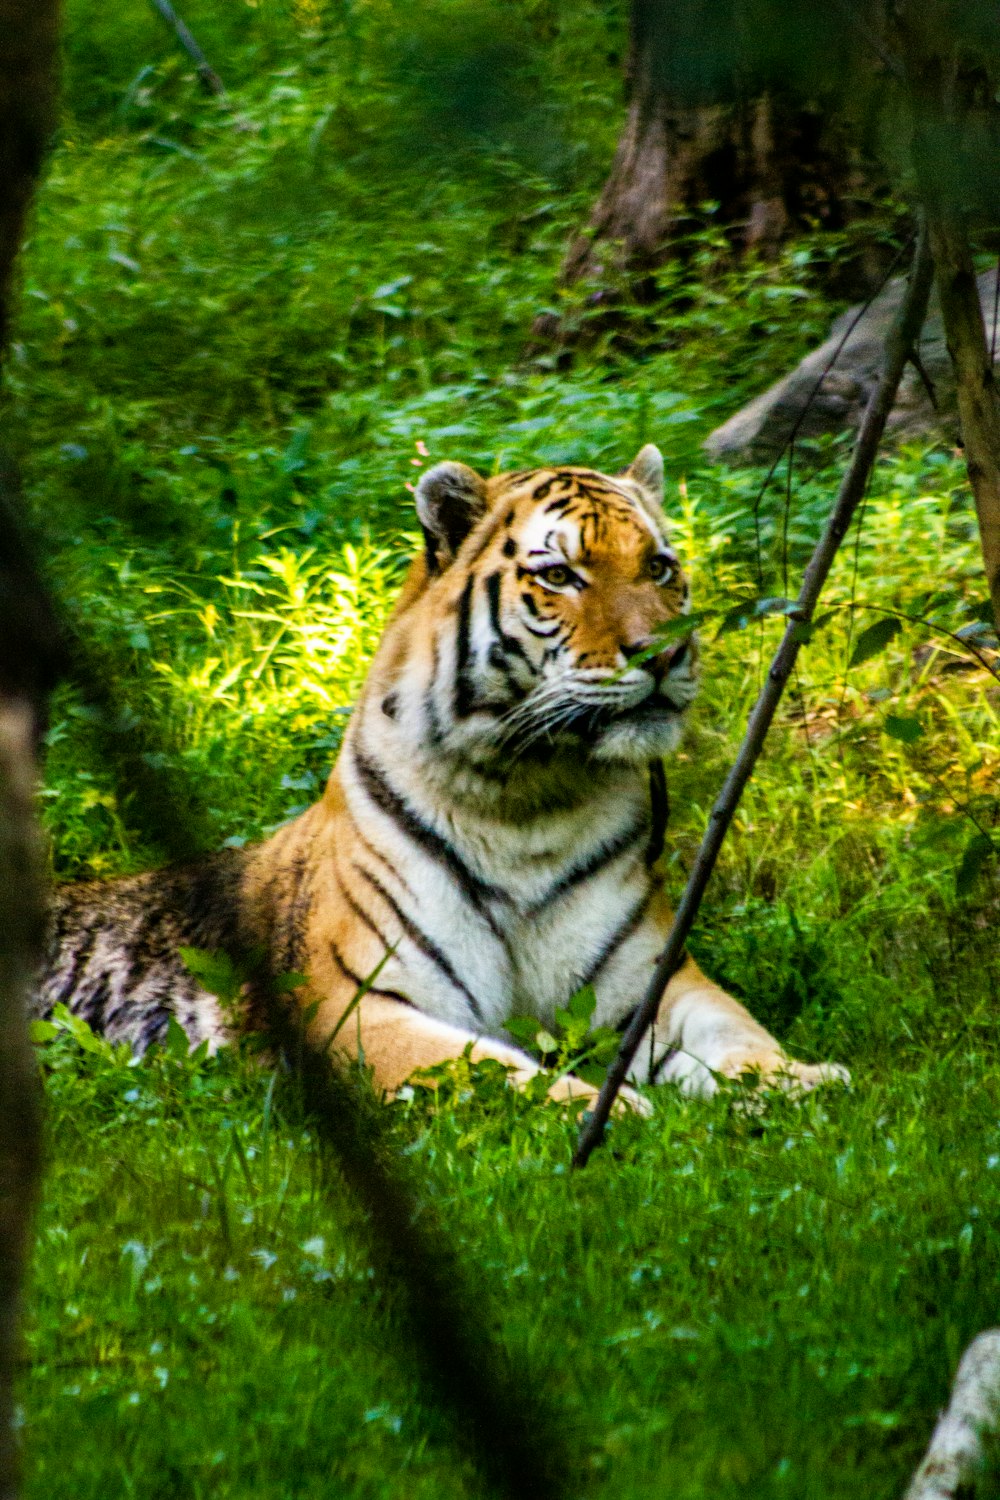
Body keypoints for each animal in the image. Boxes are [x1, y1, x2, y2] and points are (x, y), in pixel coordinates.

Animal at [41, 444, 851, 1116]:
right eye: (560, 575)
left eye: (658, 567)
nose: (666, 653)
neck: (528, 799)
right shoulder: (354, 1006)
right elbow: (485, 1067)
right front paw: (612, 1108)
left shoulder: (654, 979)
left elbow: (737, 1032)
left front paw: (802, 1080)